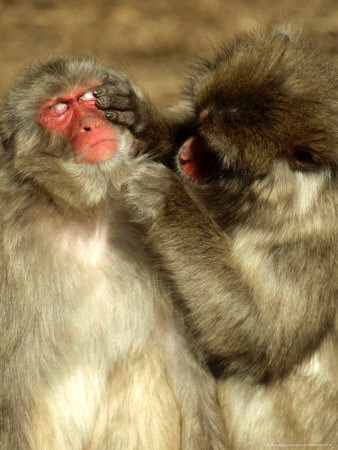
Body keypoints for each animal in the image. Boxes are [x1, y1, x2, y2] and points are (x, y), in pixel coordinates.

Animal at [0, 55, 228, 450]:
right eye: (58, 109)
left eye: (91, 97)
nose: (90, 125)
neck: (87, 214)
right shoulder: (8, 246)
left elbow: (186, 368)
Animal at [94, 22, 338, 448]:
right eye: (198, 119)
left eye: (215, 149)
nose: (189, 148)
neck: (287, 198)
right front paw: (139, 114)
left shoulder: (311, 248)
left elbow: (264, 339)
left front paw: (167, 199)